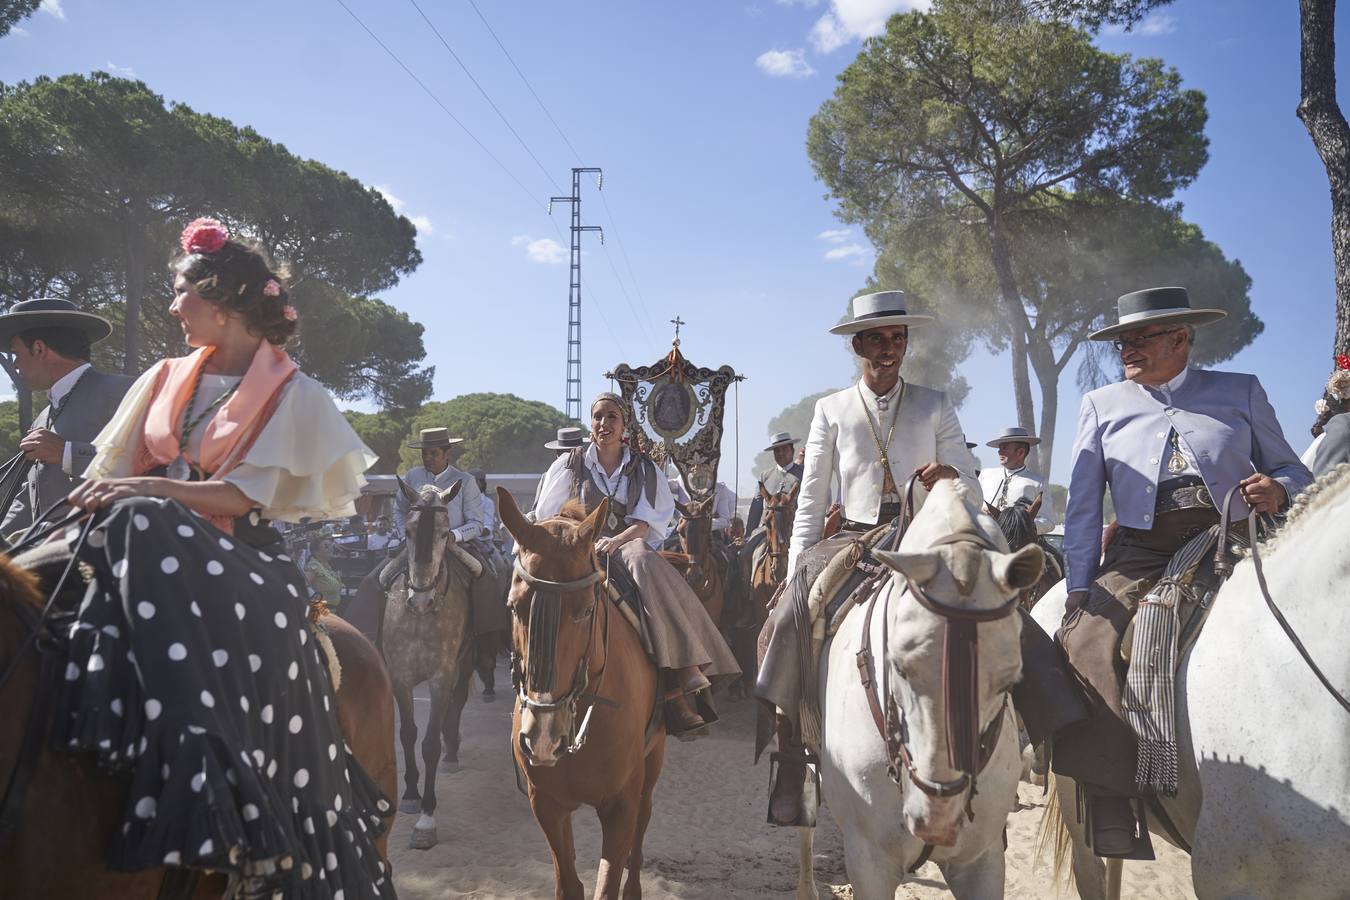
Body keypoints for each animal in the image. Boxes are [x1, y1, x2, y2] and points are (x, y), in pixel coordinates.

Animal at [496, 488, 664, 900]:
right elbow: (569, 882)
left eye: (586, 609)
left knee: (643, 823)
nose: (542, 738)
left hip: (654, 759)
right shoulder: (548, 805)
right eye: (514, 606)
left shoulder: (621, 806)